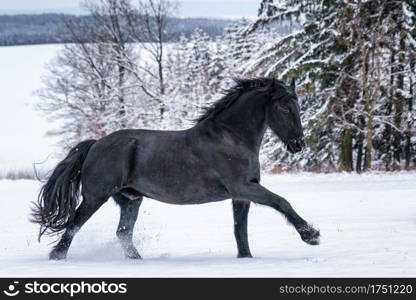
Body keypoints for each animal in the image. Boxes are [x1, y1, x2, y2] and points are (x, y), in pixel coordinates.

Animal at [32, 77, 318, 260]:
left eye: (298, 105)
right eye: (283, 106)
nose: (298, 145)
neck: (231, 137)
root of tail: (95, 144)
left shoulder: (241, 195)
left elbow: (241, 230)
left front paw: (246, 258)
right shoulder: (243, 188)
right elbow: (281, 202)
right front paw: (311, 235)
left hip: (131, 199)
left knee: (123, 233)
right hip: (95, 197)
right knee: (73, 226)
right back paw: (57, 258)